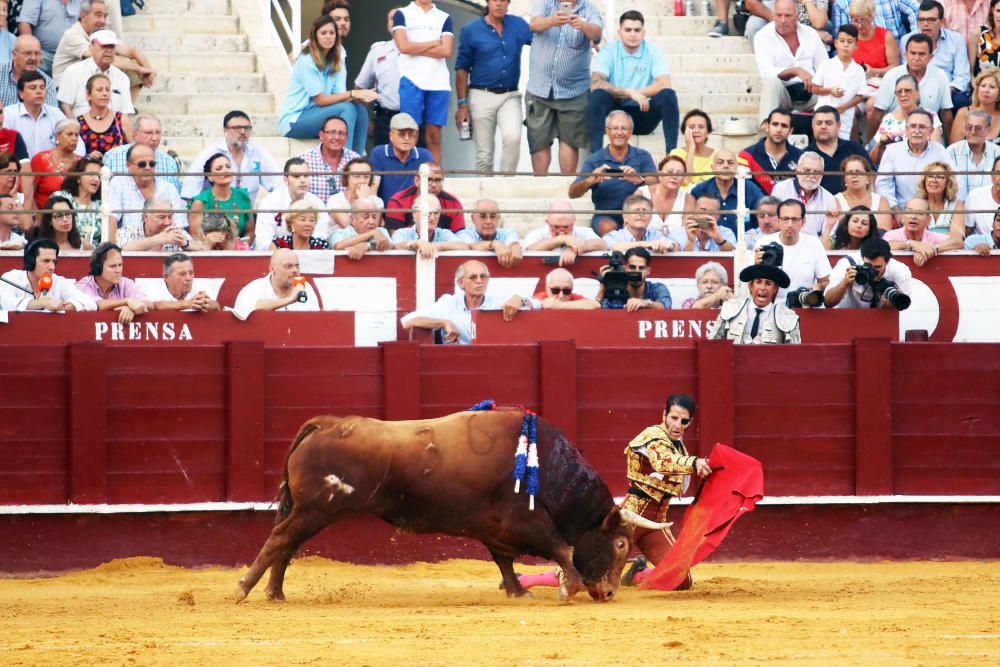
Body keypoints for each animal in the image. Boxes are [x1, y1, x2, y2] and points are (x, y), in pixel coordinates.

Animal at [237, 408, 668, 604]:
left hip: (309, 510)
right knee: (280, 540)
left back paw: (274, 594)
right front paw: (570, 587)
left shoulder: (497, 528)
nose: (608, 592)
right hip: (317, 508)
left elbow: (503, 561)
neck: (550, 468)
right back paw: (245, 588)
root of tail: (326, 423)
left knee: (286, 544)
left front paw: (518, 592)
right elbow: (561, 548)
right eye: (620, 545)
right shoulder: (528, 519)